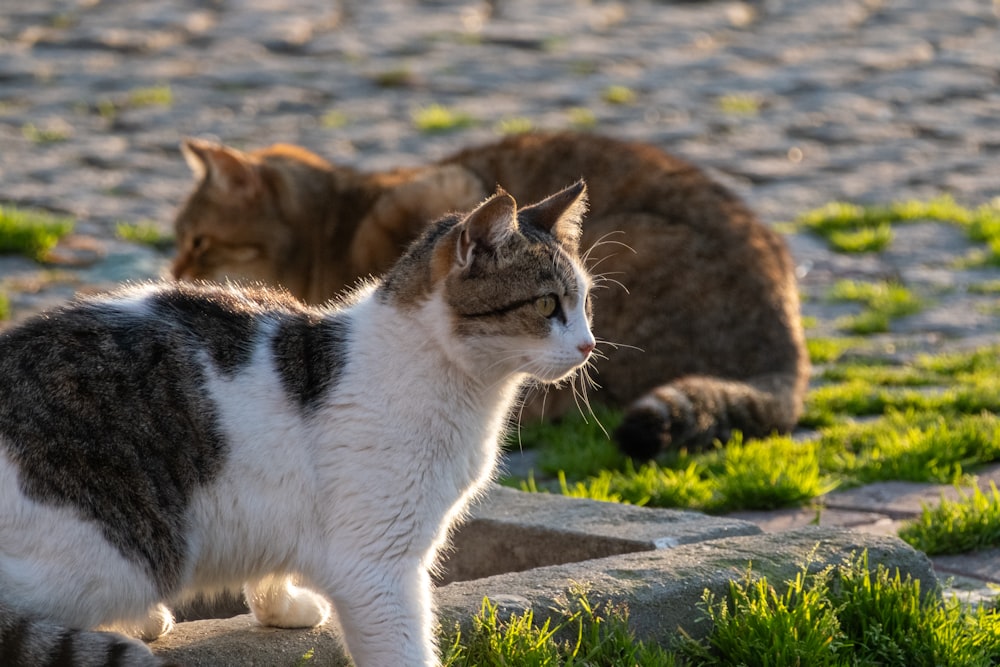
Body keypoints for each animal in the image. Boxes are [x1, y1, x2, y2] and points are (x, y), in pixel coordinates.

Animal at [0, 184, 592, 667]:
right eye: (547, 304)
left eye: (585, 302)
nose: (589, 345)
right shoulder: (376, 566)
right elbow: (404, 648)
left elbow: (272, 561)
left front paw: (281, 605)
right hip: (123, 558)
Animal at [172, 134, 808, 462]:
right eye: (180, 239)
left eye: (198, 242)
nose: (173, 268)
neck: (336, 220)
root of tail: (792, 352)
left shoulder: (446, 190)